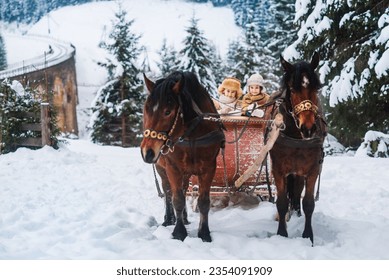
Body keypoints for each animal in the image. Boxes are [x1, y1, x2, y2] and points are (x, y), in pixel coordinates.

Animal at [139, 70, 224, 241]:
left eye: (167, 111)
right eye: (146, 109)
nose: (147, 152)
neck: (191, 136)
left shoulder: (209, 167)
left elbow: (203, 201)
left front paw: (204, 233)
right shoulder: (173, 168)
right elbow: (176, 198)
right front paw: (179, 232)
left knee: (183, 189)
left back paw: (184, 218)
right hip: (161, 168)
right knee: (167, 191)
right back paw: (169, 219)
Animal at [268, 51, 326, 244]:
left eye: (316, 89)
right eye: (293, 90)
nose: (308, 128)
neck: (295, 136)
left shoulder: (312, 169)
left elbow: (308, 203)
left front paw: (308, 236)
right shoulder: (278, 170)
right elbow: (281, 202)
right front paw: (281, 233)